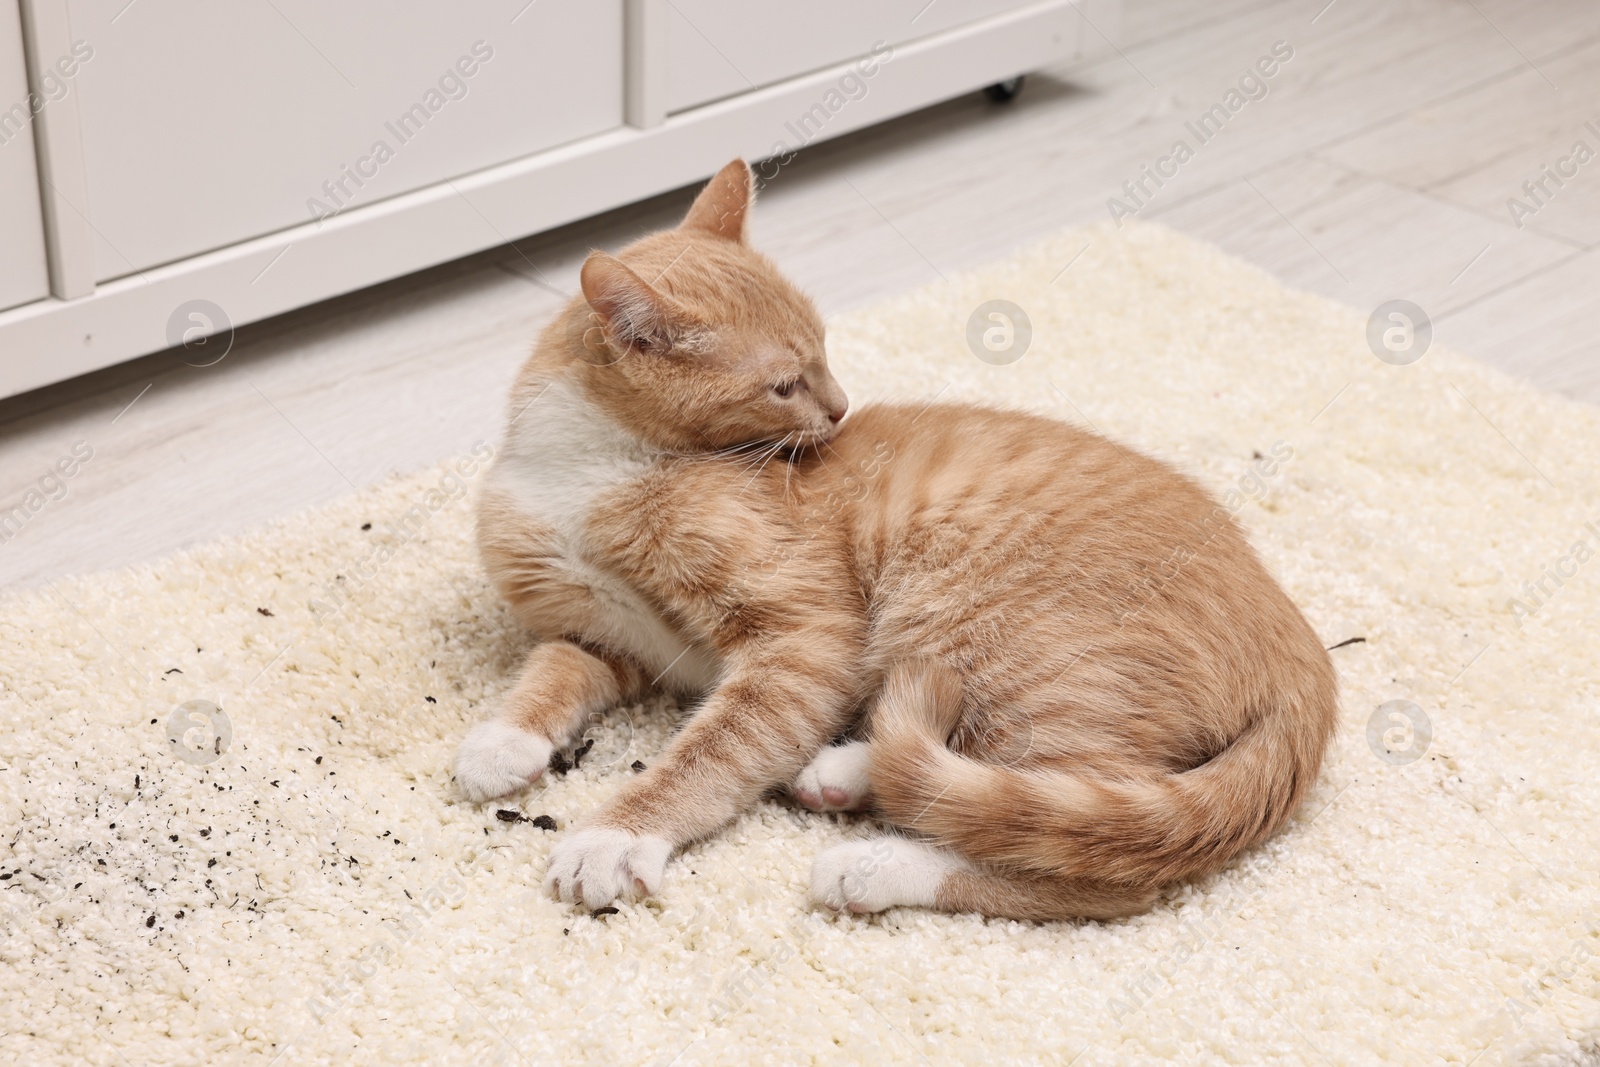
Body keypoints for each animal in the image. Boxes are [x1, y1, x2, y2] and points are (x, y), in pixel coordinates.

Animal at [454, 158, 1337, 921]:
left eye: (823, 354)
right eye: (785, 383)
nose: (840, 408)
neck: (592, 466)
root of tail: (1302, 657)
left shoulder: (804, 638)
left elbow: (715, 750)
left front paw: (616, 832)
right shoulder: (605, 631)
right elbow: (552, 670)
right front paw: (502, 739)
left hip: (992, 635)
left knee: (1087, 859)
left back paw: (872, 866)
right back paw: (845, 769)